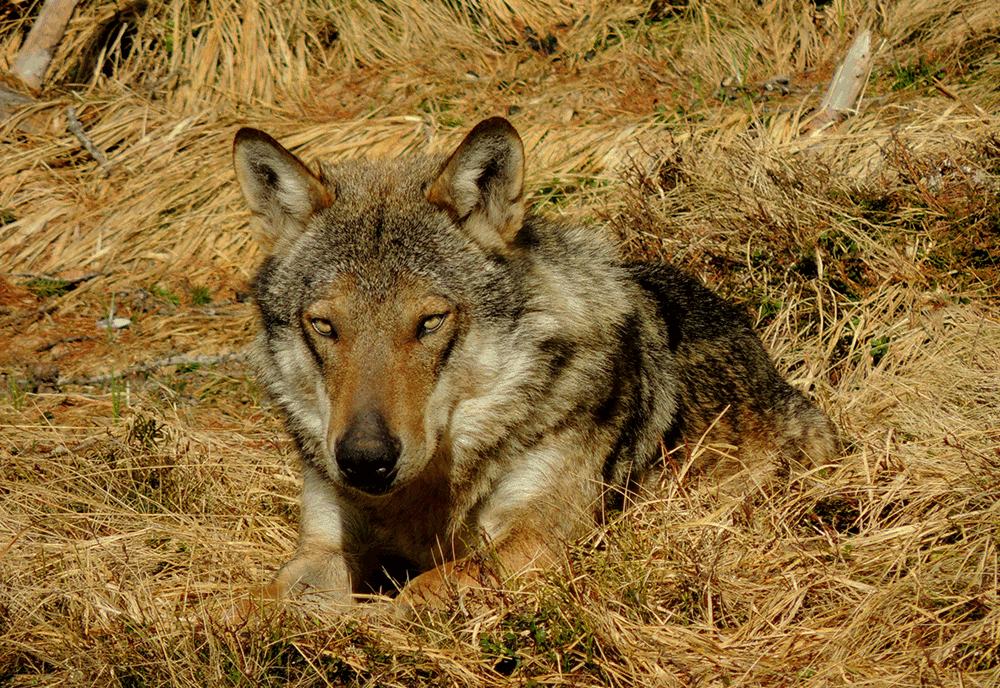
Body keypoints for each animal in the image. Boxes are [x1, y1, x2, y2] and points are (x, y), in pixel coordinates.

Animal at [231, 117, 838, 608]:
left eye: (430, 322)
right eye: (325, 326)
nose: (364, 460)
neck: (425, 498)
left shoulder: (538, 537)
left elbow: (426, 589)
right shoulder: (325, 545)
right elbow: (254, 601)